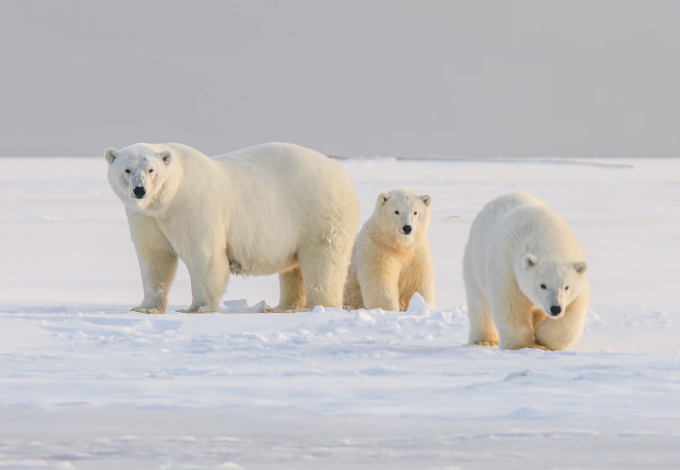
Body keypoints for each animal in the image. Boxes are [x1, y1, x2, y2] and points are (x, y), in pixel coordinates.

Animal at [105, 141, 362, 314]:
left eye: (151, 170)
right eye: (127, 169)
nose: (140, 190)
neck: (169, 199)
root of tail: (342, 174)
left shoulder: (194, 206)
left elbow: (204, 254)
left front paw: (198, 308)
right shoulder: (146, 218)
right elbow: (154, 257)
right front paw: (146, 307)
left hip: (318, 213)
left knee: (323, 259)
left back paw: (316, 306)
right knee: (294, 268)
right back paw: (281, 307)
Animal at [462, 193, 588, 350]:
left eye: (566, 287)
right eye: (543, 285)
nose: (555, 308)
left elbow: (573, 312)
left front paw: (542, 339)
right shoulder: (506, 268)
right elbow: (510, 305)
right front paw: (524, 345)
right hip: (474, 262)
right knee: (479, 303)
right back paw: (484, 340)